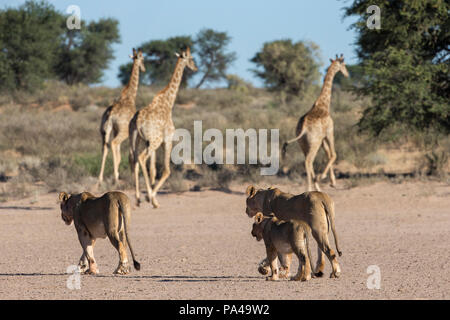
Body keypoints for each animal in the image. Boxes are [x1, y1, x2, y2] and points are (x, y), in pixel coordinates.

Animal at [97, 47, 145, 185]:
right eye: (143, 59)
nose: (144, 69)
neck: (129, 97)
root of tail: (110, 114)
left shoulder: (114, 130)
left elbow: (119, 155)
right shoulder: (130, 132)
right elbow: (129, 154)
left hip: (104, 131)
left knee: (105, 148)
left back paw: (100, 179)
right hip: (123, 132)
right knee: (113, 144)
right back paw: (115, 178)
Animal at [127, 47, 196, 208]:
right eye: (190, 58)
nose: (195, 68)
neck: (168, 102)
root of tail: (137, 121)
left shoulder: (148, 141)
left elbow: (153, 170)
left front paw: (150, 197)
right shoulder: (167, 139)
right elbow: (166, 170)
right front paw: (152, 198)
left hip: (136, 139)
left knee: (134, 160)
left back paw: (138, 199)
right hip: (155, 140)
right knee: (141, 158)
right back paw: (149, 198)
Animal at [284, 53, 350, 191]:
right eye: (344, 65)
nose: (347, 74)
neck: (323, 104)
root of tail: (303, 128)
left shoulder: (323, 138)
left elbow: (328, 154)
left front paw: (332, 182)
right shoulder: (330, 132)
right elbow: (334, 154)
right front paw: (324, 177)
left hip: (303, 144)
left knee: (309, 162)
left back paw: (317, 188)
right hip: (314, 144)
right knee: (308, 161)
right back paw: (310, 188)